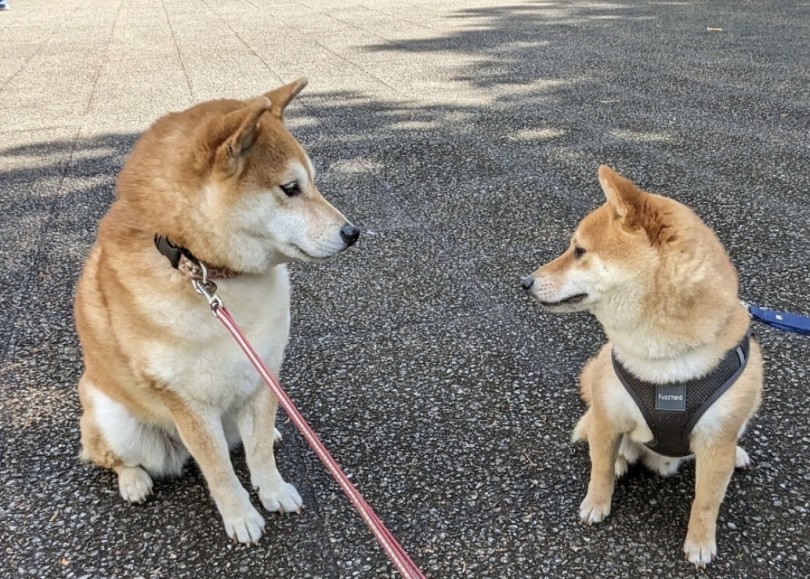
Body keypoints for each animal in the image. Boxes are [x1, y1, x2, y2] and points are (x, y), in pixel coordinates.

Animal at [76, 77, 360, 544]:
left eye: (314, 183)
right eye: (290, 188)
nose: (353, 232)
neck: (209, 274)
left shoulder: (264, 373)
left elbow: (259, 450)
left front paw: (273, 489)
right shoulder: (189, 405)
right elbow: (220, 472)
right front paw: (241, 515)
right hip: (115, 419)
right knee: (112, 457)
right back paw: (133, 481)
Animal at [520, 165, 760, 568]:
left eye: (579, 251)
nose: (525, 282)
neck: (665, 363)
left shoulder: (715, 440)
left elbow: (706, 502)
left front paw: (700, 542)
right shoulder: (608, 416)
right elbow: (599, 469)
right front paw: (596, 503)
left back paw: (738, 453)